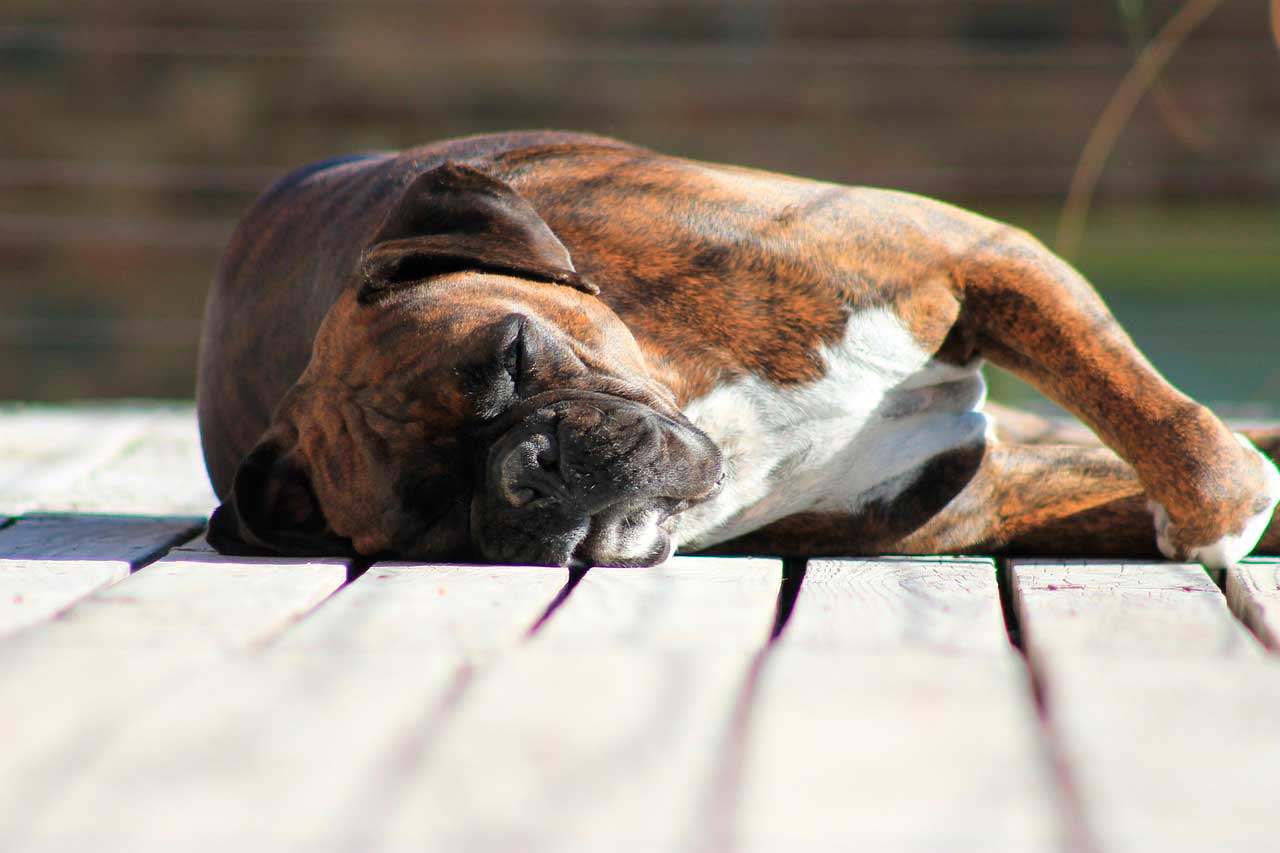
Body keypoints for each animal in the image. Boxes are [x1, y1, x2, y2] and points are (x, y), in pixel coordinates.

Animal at [197, 131, 1280, 563]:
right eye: (429, 517)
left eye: (511, 355)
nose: (527, 471)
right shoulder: (992, 488)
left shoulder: (977, 254)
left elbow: (1147, 410)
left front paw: (1220, 508)